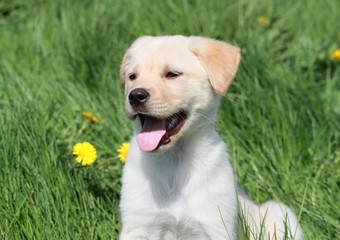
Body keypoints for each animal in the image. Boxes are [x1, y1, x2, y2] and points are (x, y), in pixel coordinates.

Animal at [119, 35, 302, 240]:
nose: (135, 95)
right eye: (132, 77)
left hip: (280, 212)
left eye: (172, 74)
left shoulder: (215, 226)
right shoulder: (138, 225)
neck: (174, 161)